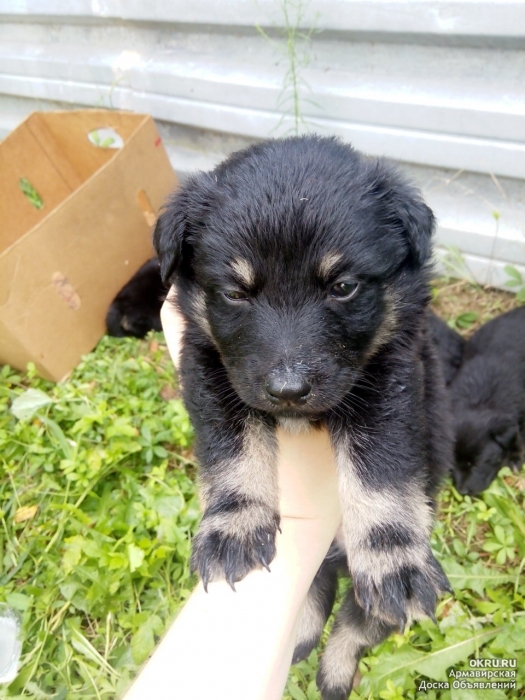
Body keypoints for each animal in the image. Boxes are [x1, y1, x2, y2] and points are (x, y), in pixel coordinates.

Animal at [151, 134, 450, 696]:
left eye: (343, 286)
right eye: (235, 292)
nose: (288, 391)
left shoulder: (391, 376)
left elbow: (379, 467)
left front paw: (391, 554)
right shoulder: (211, 368)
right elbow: (233, 446)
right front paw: (235, 523)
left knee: (359, 622)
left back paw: (333, 672)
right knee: (314, 595)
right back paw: (301, 642)